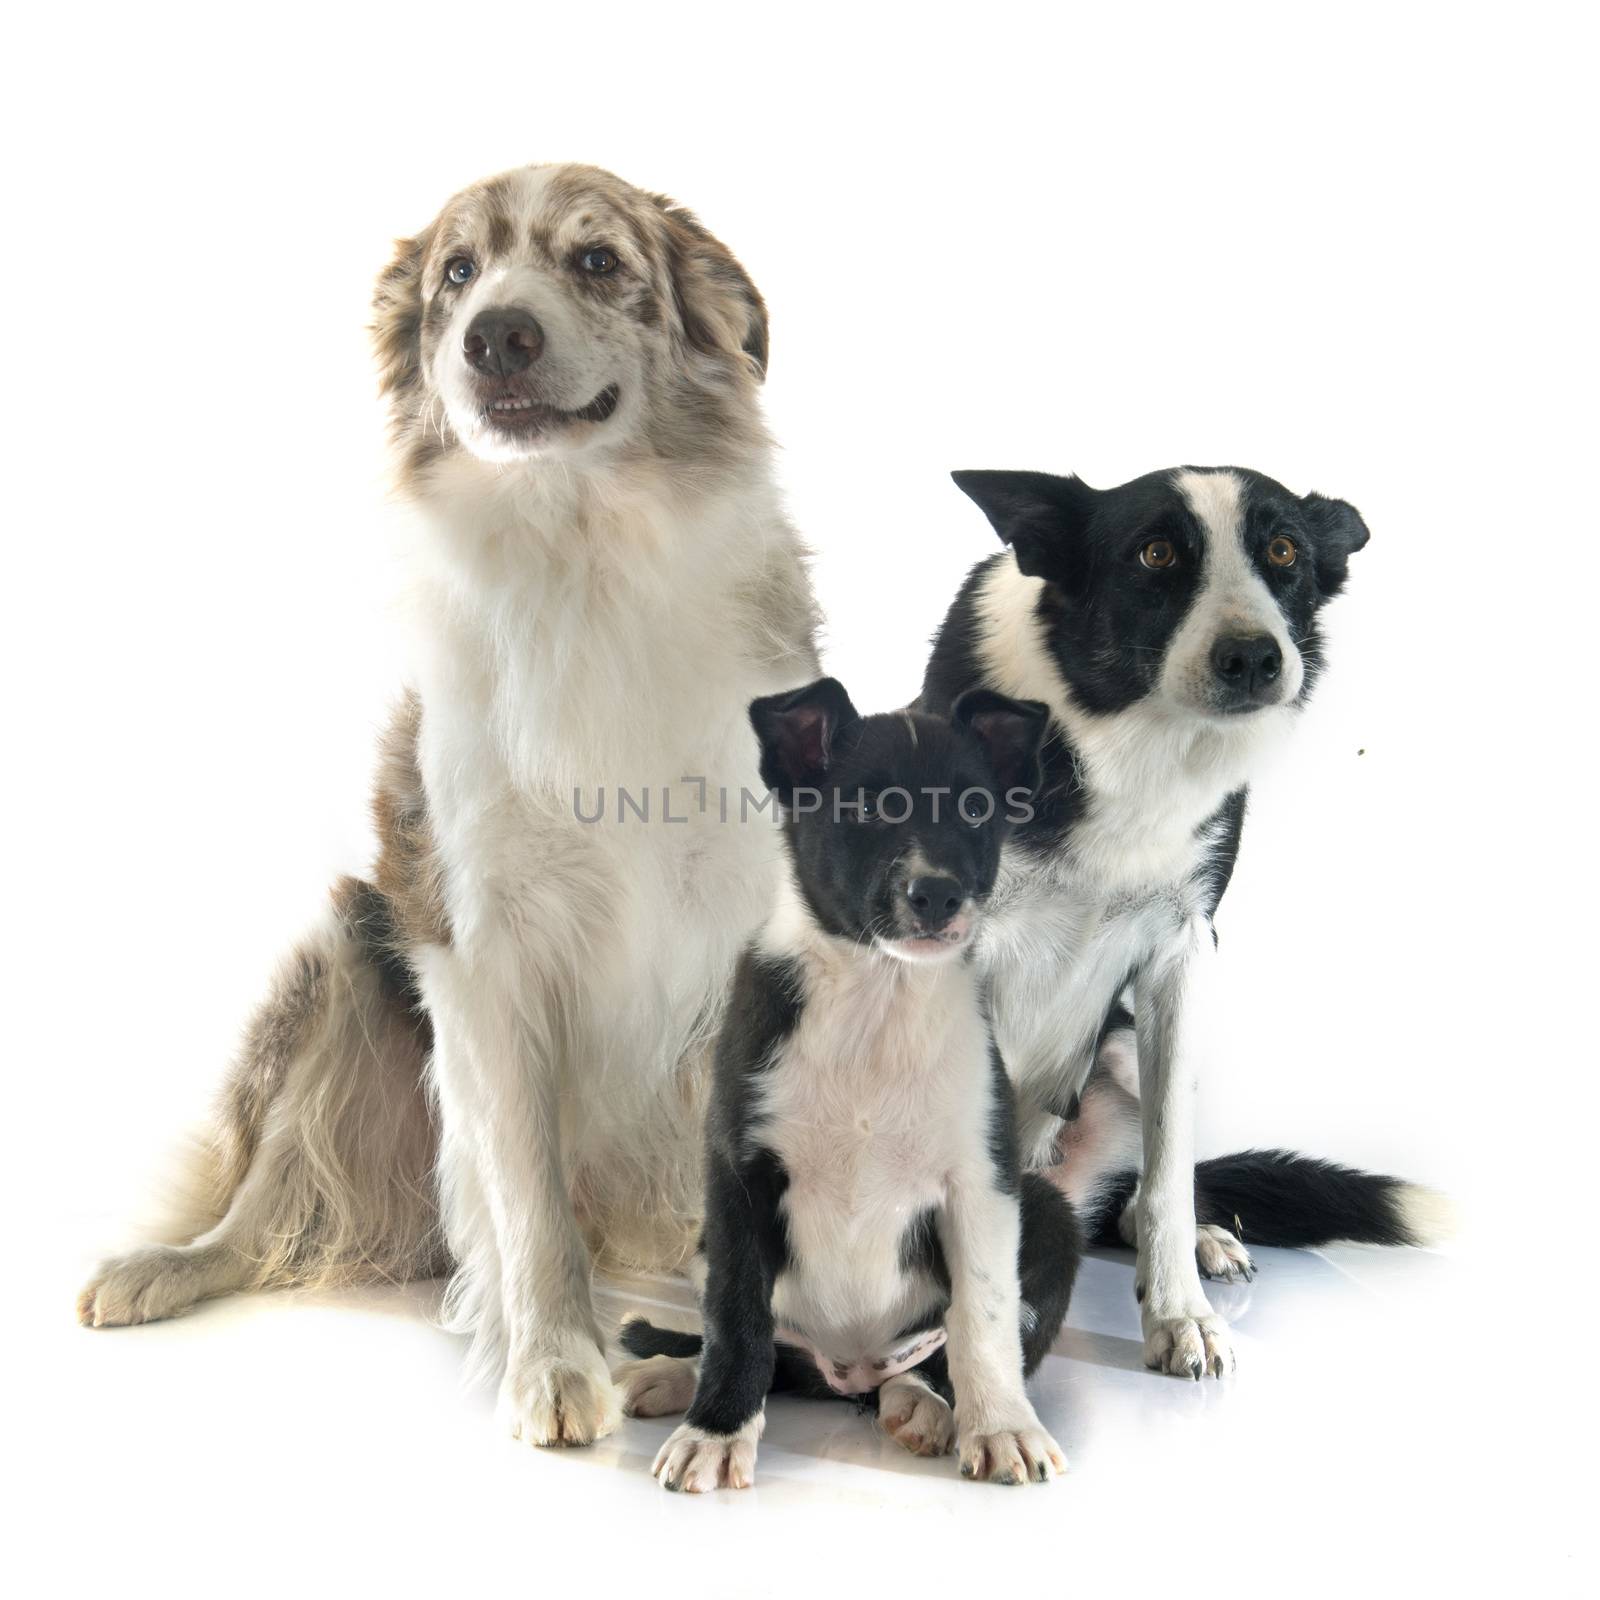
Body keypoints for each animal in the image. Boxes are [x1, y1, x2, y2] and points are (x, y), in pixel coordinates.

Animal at [608, 681, 1075, 1491]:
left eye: (975, 810)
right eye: (864, 808)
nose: (936, 894)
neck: (876, 998)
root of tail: (850, 1372)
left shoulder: (983, 1180)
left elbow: (983, 1317)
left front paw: (1003, 1427)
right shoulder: (737, 1171)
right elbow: (736, 1317)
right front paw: (715, 1430)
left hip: (1048, 1213)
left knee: (936, 1354)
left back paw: (925, 1403)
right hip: (708, 1237)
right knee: (775, 1354)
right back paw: (672, 1375)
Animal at [921, 464, 1446, 1376]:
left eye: (1285, 552)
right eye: (1156, 553)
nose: (1255, 658)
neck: (1125, 738)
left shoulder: (1180, 954)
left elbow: (1169, 1171)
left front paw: (1178, 1316)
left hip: (1124, 1050)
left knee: (1148, 1190)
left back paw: (1198, 1237)